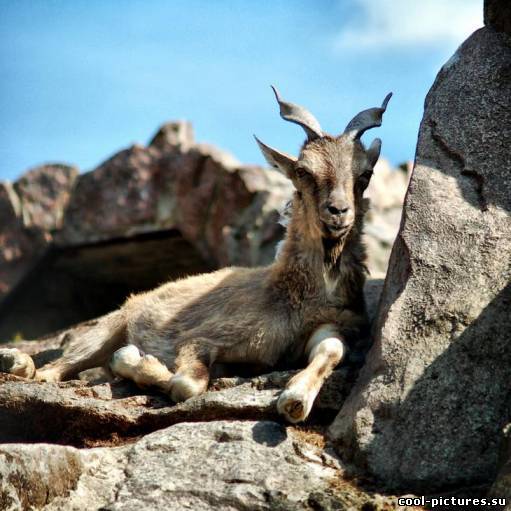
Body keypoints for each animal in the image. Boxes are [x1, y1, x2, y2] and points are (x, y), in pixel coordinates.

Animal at [0, 88, 392, 424]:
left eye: (365, 173)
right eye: (303, 170)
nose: (338, 212)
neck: (289, 295)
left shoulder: (328, 326)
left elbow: (331, 351)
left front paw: (294, 400)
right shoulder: (205, 337)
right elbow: (185, 383)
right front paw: (140, 361)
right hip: (109, 326)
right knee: (51, 370)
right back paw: (21, 362)